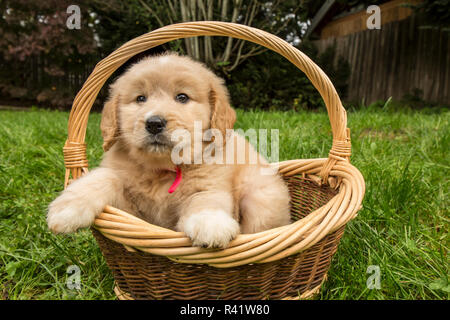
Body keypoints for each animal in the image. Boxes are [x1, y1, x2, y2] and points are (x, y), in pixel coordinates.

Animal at [46, 53, 292, 248]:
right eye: (140, 98)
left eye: (182, 97)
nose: (154, 123)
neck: (162, 171)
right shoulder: (131, 215)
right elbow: (105, 176)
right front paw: (67, 208)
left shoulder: (210, 184)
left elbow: (206, 199)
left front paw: (210, 223)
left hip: (261, 196)